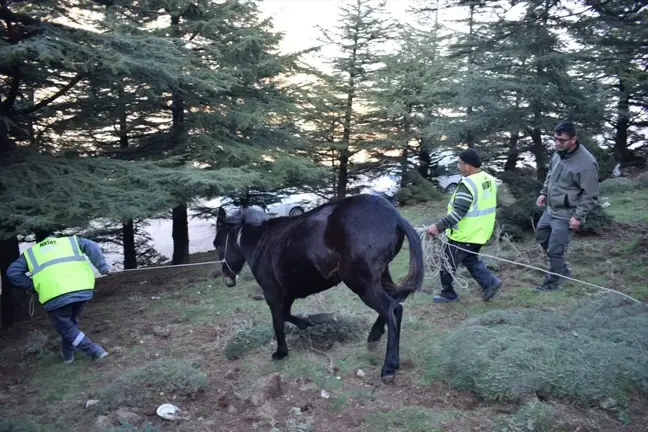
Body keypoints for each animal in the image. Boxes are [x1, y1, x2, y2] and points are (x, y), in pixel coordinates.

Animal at [213, 194, 426, 384]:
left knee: (391, 309)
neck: (262, 242)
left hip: (362, 283)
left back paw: (389, 367)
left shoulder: (272, 293)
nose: (227, 279)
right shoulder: (287, 293)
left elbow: (278, 321)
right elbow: (287, 315)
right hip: (379, 276)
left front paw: (281, 352)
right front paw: (311, 321)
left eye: (217, 243)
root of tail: (395, 216)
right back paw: (374, 337)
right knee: (395, 304)